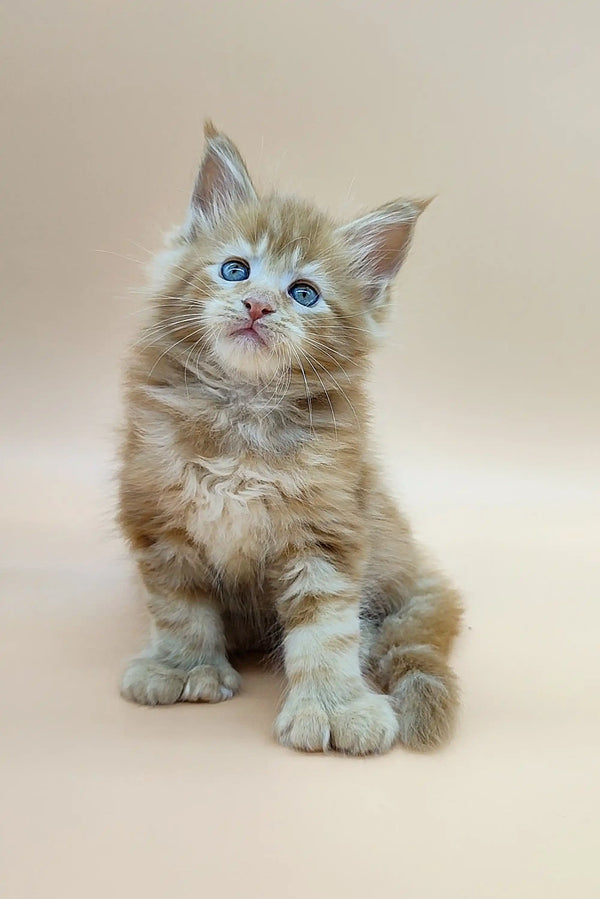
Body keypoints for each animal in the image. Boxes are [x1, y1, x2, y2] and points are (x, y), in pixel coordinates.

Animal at [118, 119, 464, 752]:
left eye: (304, 293)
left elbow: (326, 631)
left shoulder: (329, 529)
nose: (257, 305)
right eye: (235, 269)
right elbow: (179, 608)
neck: (243, 413)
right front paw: (182, 667)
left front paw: (335, 707)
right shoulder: (158, 516)